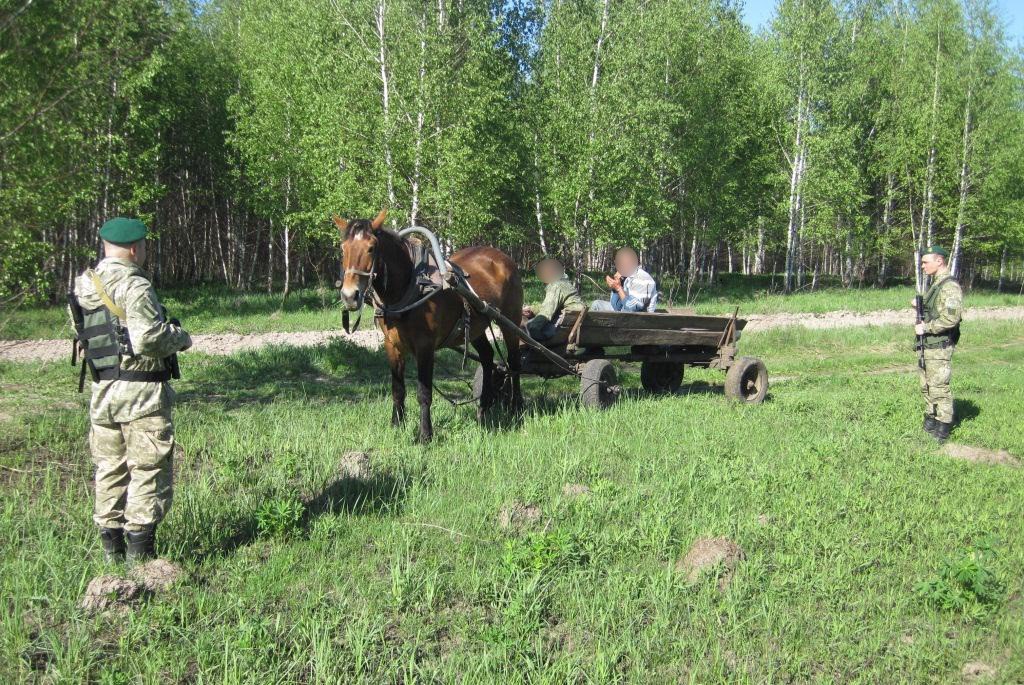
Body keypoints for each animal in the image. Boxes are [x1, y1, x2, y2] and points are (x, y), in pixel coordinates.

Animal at [335, 209, 524, 444]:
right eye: (343, 248)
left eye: (371, 248)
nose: (349, 296)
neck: (411, 286)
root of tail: (502, 257)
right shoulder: (391, 345)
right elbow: (398, 389)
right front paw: (396, 425)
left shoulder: (425, 347)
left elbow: (424, 392)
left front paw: (425, 434)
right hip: (475, 326)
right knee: (488, 357)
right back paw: (483, 408)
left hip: (511, 320)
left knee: (514, 361)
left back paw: (516, 407)